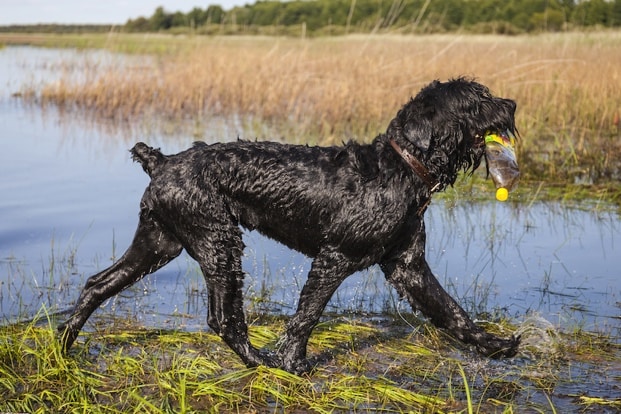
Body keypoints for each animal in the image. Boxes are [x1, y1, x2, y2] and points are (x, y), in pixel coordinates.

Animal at [60, 77, 520, 372]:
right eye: (477, 100)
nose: (513, 104)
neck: (400, 168)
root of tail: (163, 161)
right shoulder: (335, 258)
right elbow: (307, 315)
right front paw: (293, 362)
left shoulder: (408, 267)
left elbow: (453, 313)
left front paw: (496, 346)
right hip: (219, 243)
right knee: (222, 319)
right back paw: (261, 362)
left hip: (160, 242)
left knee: (97, 284)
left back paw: (64, 347)